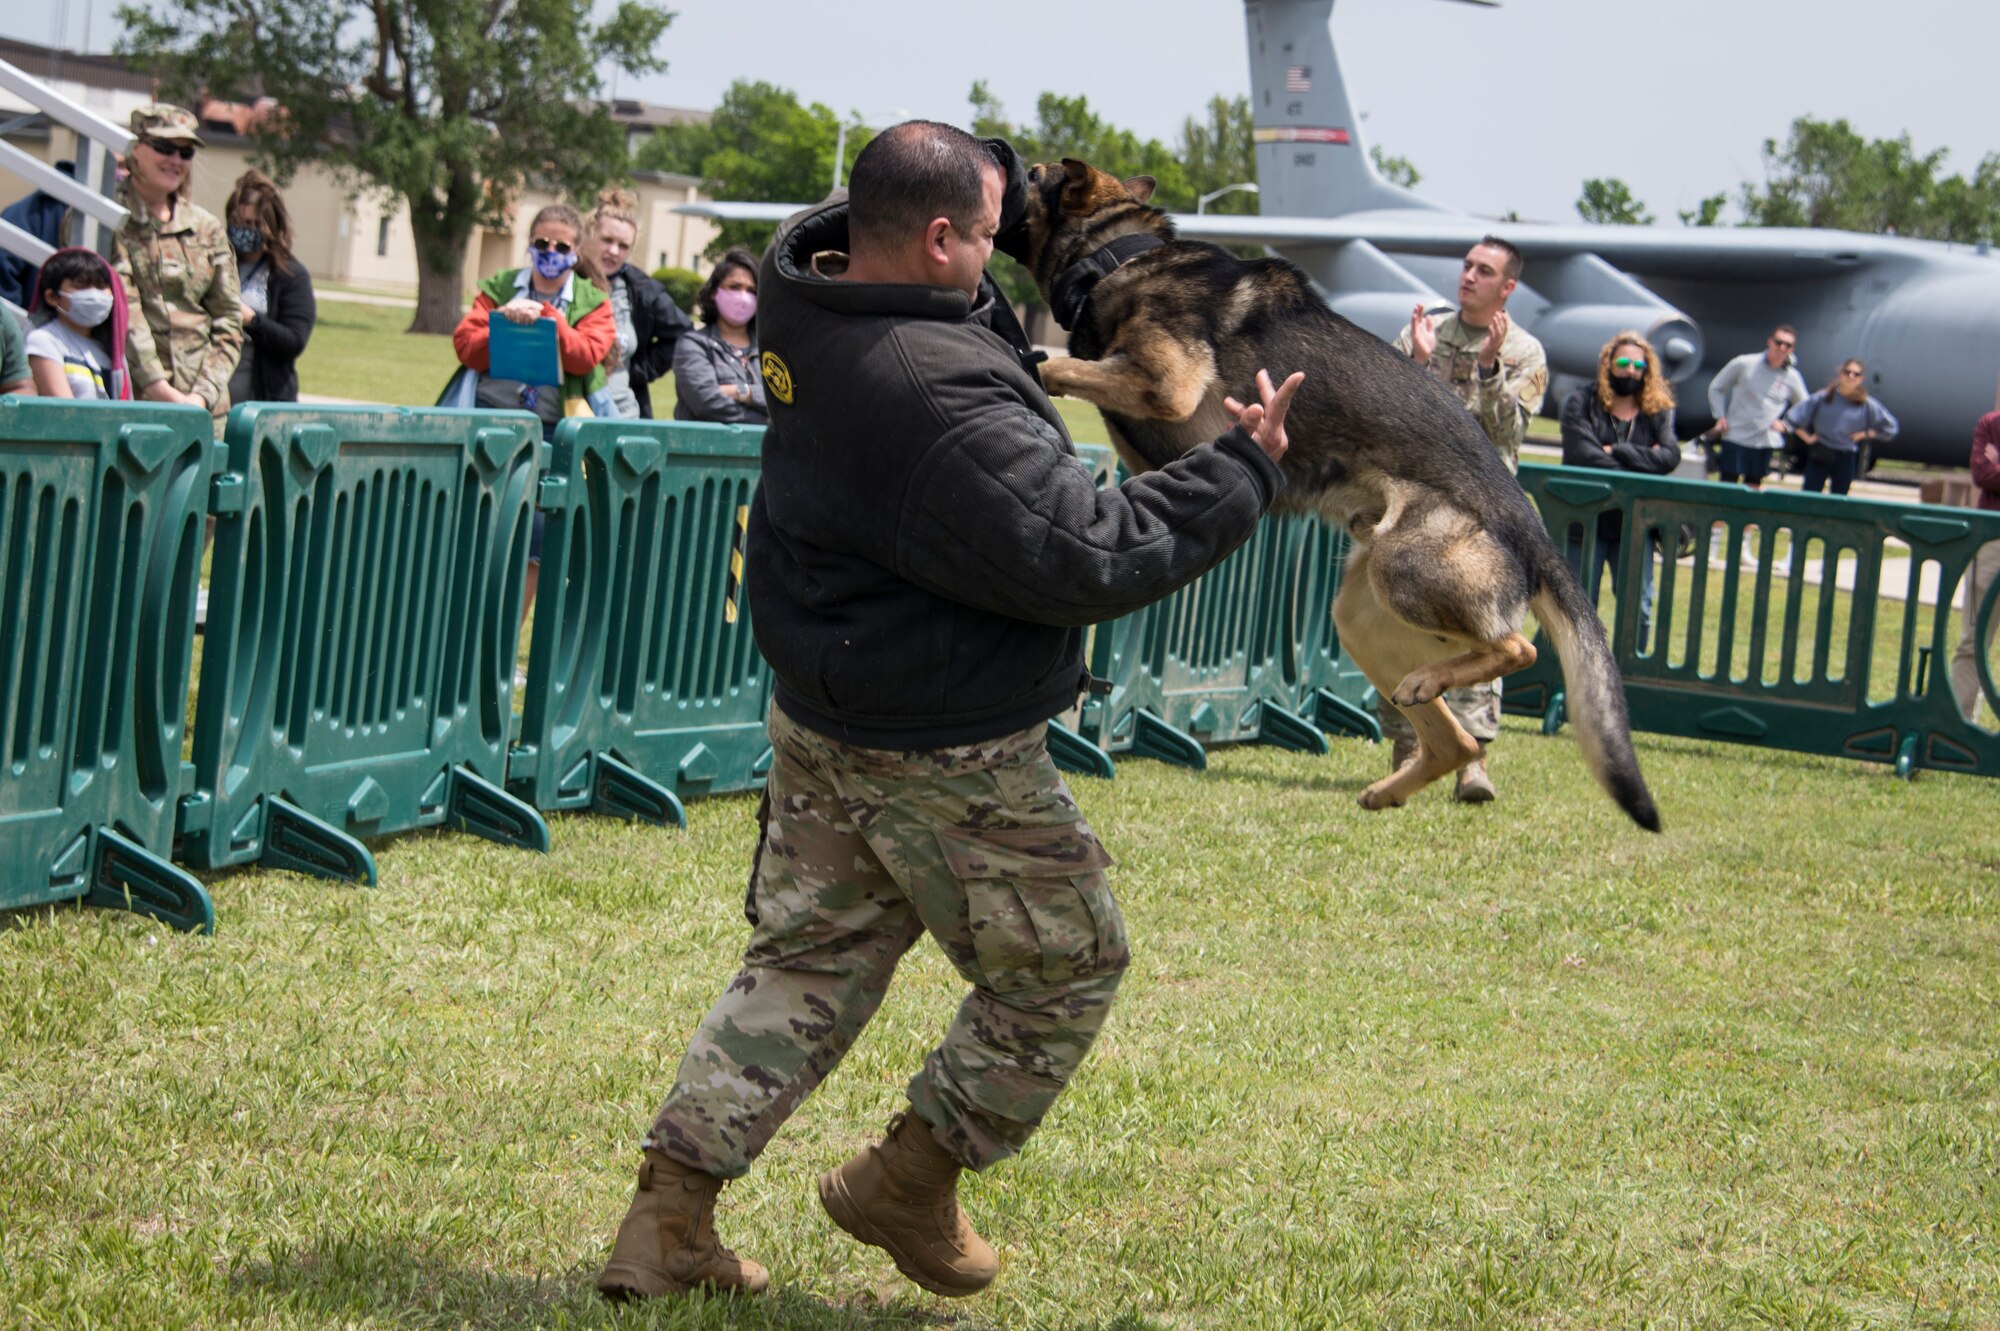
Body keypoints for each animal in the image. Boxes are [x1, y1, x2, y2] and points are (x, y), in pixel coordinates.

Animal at [1024, 157, 1664, 831]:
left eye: (1034, 173)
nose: (1008, 157)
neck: (1118, 255)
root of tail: (1530, 528)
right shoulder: (1154, 448)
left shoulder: (1166, 386)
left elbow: (1056, 366)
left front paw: (1026, 358)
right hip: (1362, 621)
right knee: (1456, 739)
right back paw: (1393, 777)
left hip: (1406, 571)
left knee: (1519, 649)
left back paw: (1436, 696)